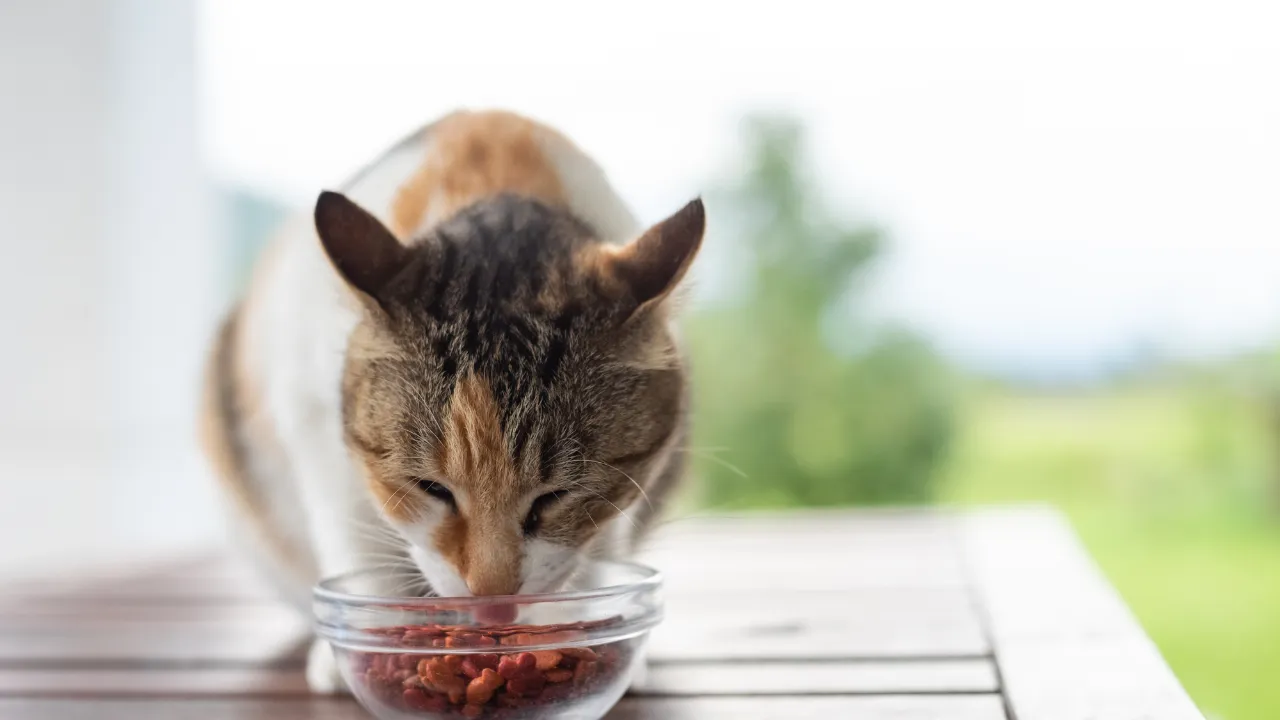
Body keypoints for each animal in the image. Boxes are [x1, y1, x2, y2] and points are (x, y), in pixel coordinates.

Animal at [199, 109, 706, 686]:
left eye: (555, 496)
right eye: (430, 488)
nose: (492, 602)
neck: (493, 170)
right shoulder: (314, 425)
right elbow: (357, 544)